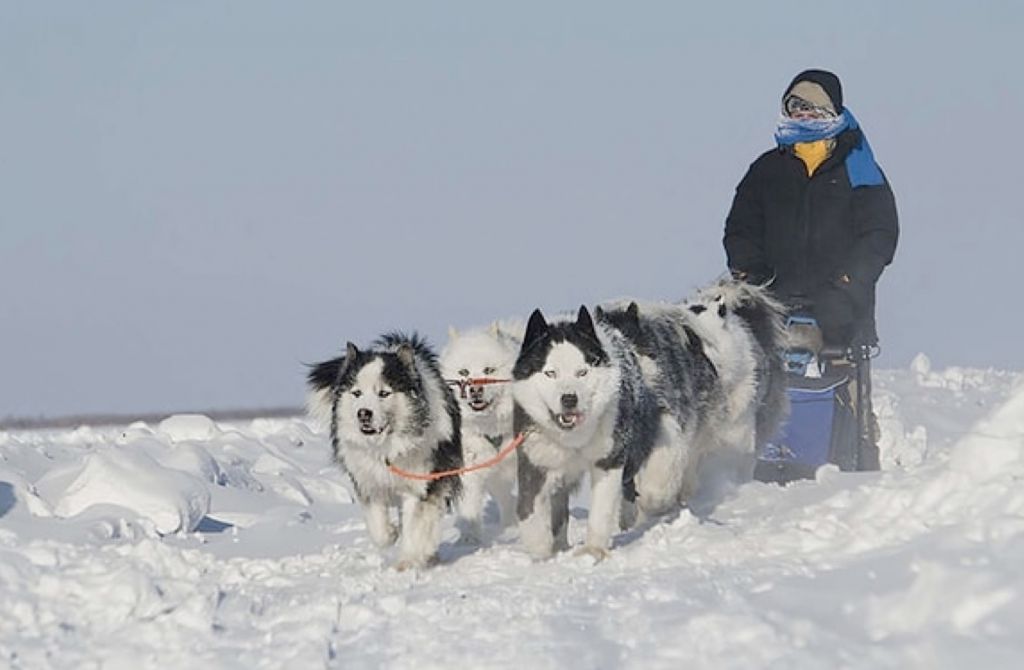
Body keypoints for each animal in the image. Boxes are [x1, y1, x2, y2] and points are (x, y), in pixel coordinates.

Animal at [306, 333, 462, 569]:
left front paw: (407, 562)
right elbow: (378, 529)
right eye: (357, 393)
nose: (364, 413)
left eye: (384, 393)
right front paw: (391, 533)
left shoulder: (420, 482)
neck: (386, 448)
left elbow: (416, 524)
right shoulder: (369, 482)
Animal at [440, 322, 521, 542]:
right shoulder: (469, 470)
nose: (475, 390)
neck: (490, 427)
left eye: (488, 370)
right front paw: (470, 539)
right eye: (464, 372)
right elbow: (469, 508)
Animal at [511, 306, 660, 561]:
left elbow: (601, 509)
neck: (572, 438)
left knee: (628, 482)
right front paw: (541, 553)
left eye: (582, 372)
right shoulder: (535, 459)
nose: (569, 398)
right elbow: (530, 509)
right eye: (550, 373)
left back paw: (628, 516)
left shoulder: (608, 459)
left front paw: (593, 551)